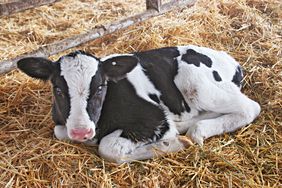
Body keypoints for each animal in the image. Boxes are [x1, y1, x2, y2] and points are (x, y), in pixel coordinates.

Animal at [17, 45, 260, 163]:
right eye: (57, 89)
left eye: (100, 87)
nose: (81, 131)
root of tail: (230, 59)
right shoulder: (61, 124)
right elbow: (60, 132)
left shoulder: (153, 119)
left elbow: (109, 148)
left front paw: (171, 144)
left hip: (194, 82)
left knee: (250, 107)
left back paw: (197, 131)